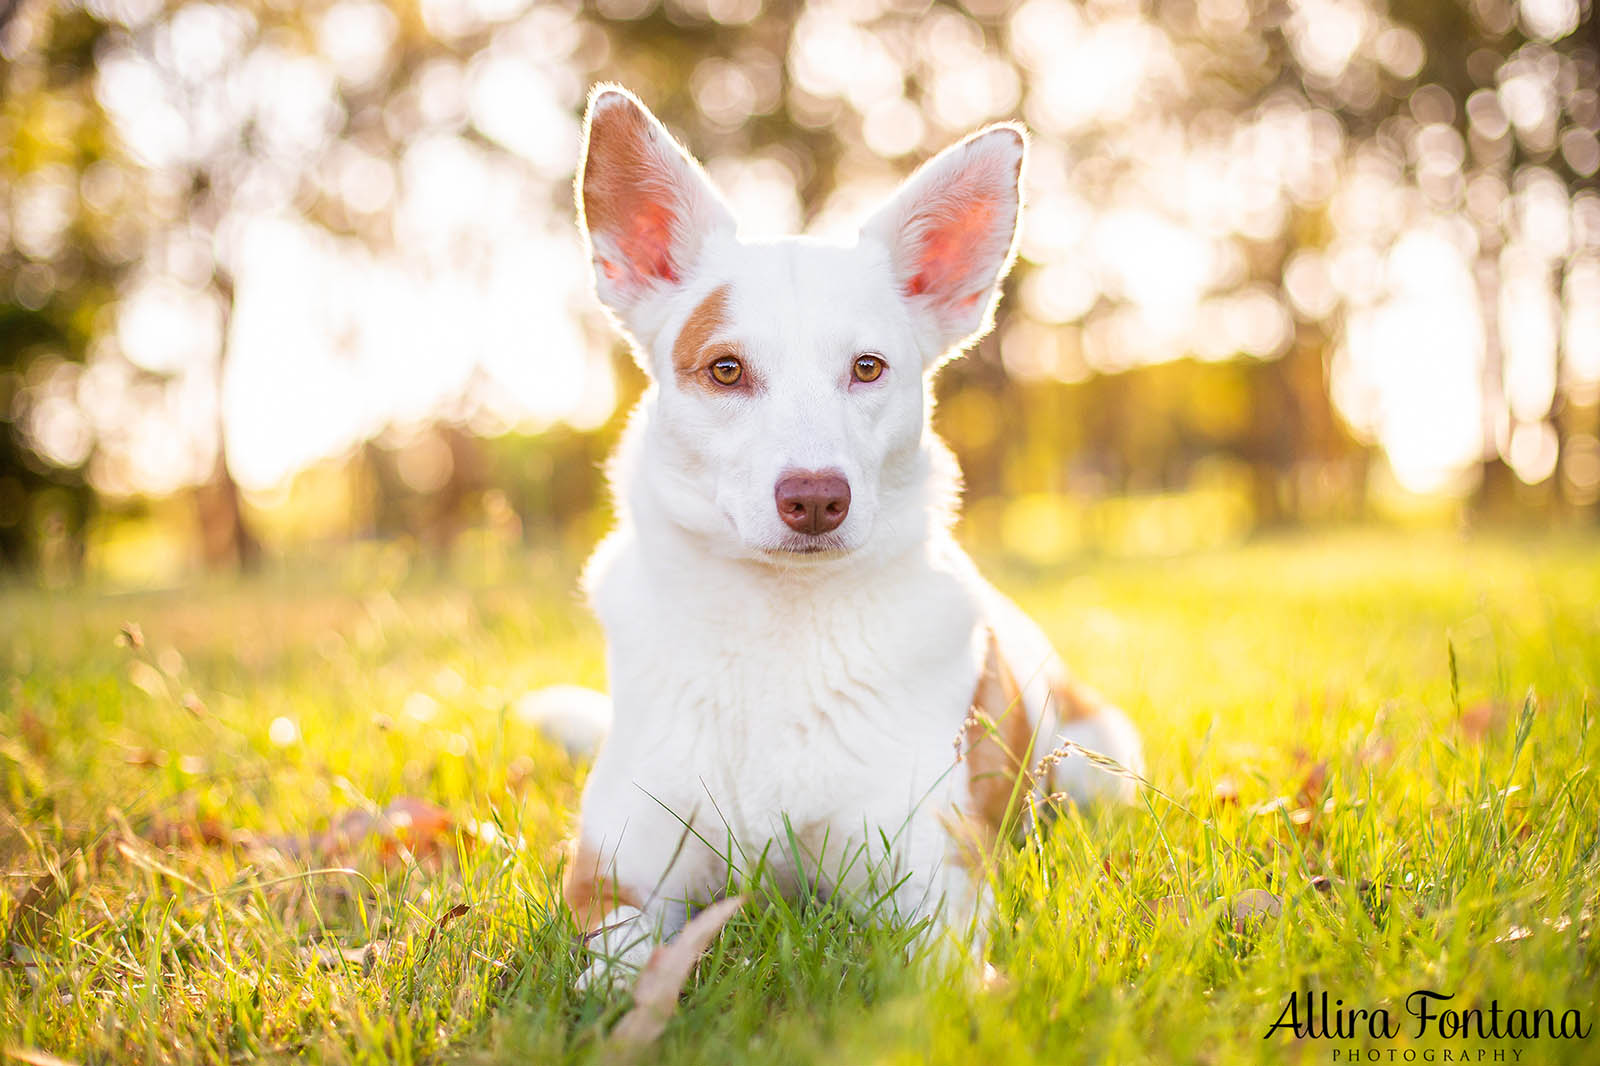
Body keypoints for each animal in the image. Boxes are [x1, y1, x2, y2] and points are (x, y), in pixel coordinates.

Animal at [563, 85, 1139, 985]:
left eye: (867, 368)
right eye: (726, 370)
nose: (814, 499)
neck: (776, 631)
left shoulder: (935, 873)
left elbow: (942, 973)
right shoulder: (612, 875)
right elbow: (617, 968)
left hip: (1101, 767)